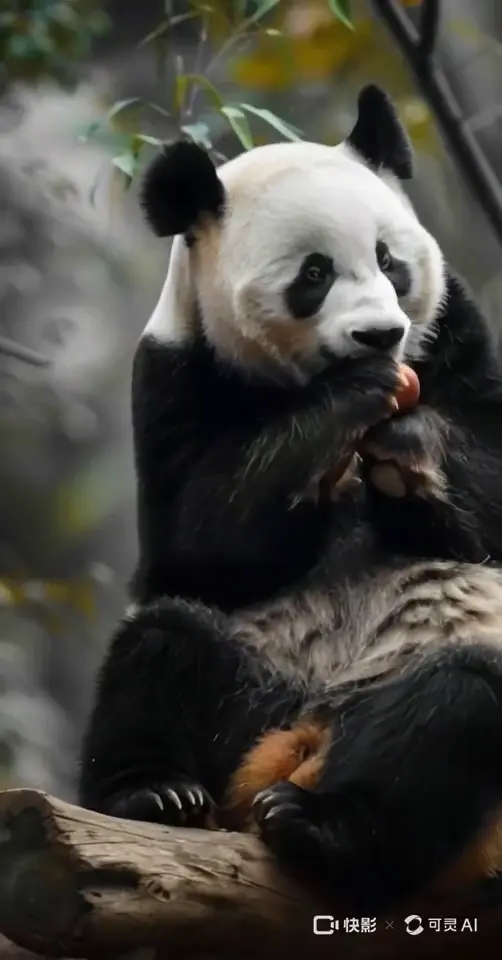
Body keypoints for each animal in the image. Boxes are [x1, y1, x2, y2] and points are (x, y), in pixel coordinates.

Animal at [79, 85, 502, 913]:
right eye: (314, 273)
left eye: (389, 260)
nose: (381, 336)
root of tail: (306, 738)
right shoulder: (175, 370)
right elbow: (194, 550)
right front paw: (353, 400)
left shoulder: (458, 329)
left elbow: (494, 498)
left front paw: (407, 447)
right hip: (255, 684)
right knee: (164, 642)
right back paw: (154, 793)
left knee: (459, 698)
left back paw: (327, 827)